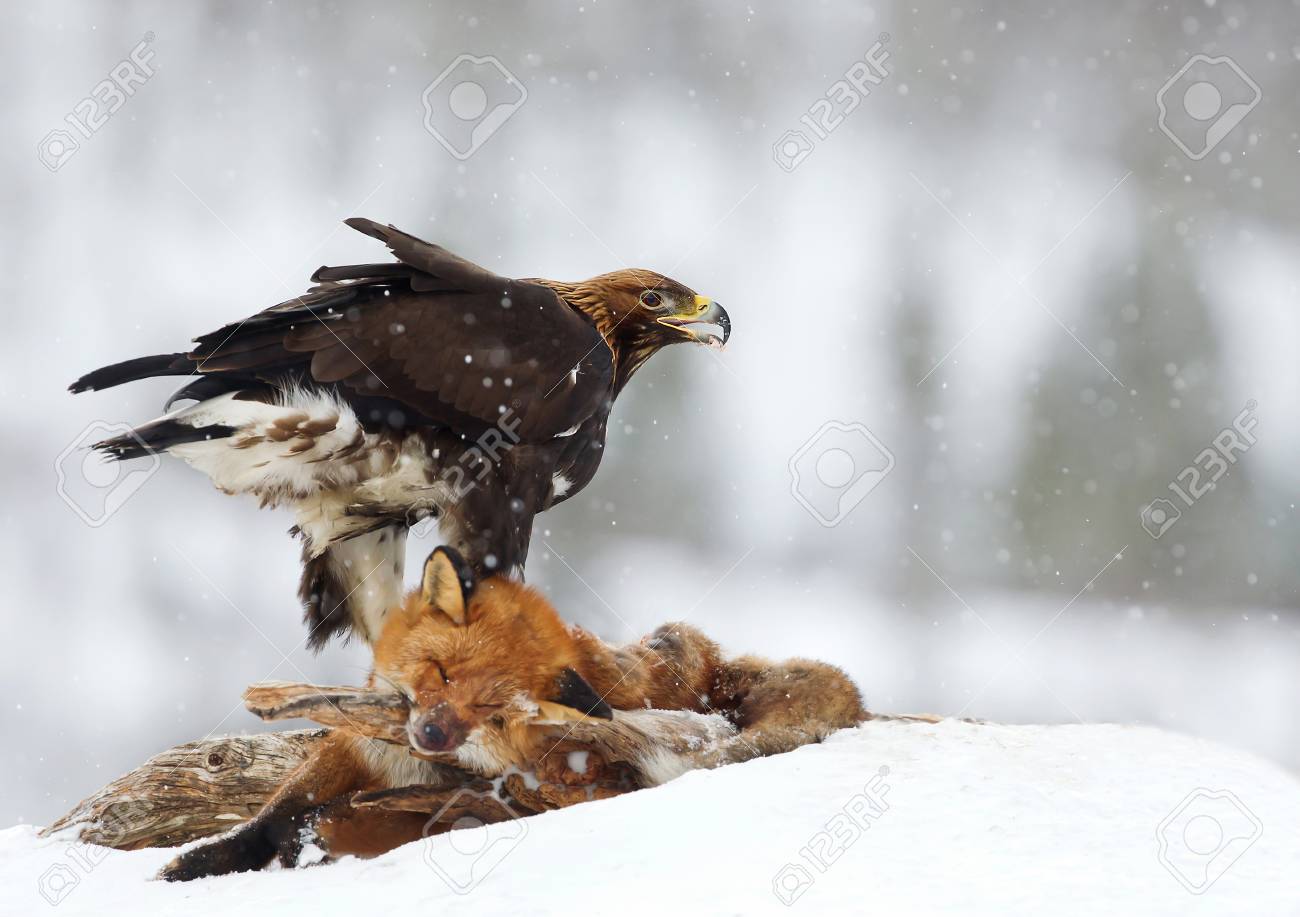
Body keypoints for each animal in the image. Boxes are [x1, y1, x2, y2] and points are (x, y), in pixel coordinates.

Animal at [161, 546, 866, 881]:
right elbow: (268, 818)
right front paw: (201, 862)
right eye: (441, 673)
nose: (431, 732)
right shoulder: (353, 754)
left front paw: (306, 841)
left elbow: (325, 820)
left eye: (492, 709)